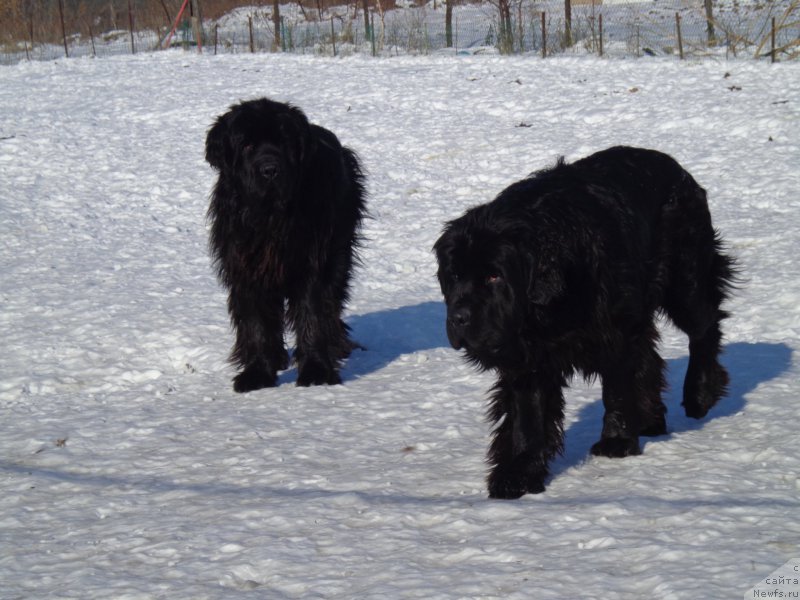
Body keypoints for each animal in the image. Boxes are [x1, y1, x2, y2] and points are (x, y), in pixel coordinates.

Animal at [206, 98, 368, 392]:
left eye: (283, 143)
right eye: (247, 145)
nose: (270, 170)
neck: (271, 217)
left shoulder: (312, 264)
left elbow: (312, 313)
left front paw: (316, 370)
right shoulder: (246, 268)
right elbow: (256, 322)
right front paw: (257, 373)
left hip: (339, 252)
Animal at [434, 148, 736, 500]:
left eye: (494, 276)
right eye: (454, 275)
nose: (458, 318)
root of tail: (677, 168)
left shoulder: (615, 331)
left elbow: (616, 388)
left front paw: (616, 442)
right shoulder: (530, 355)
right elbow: (528, 415)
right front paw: (517, 475)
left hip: (684, 280)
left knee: (705, 327)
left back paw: (700, 393)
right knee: (650, 353)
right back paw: (650, 419)